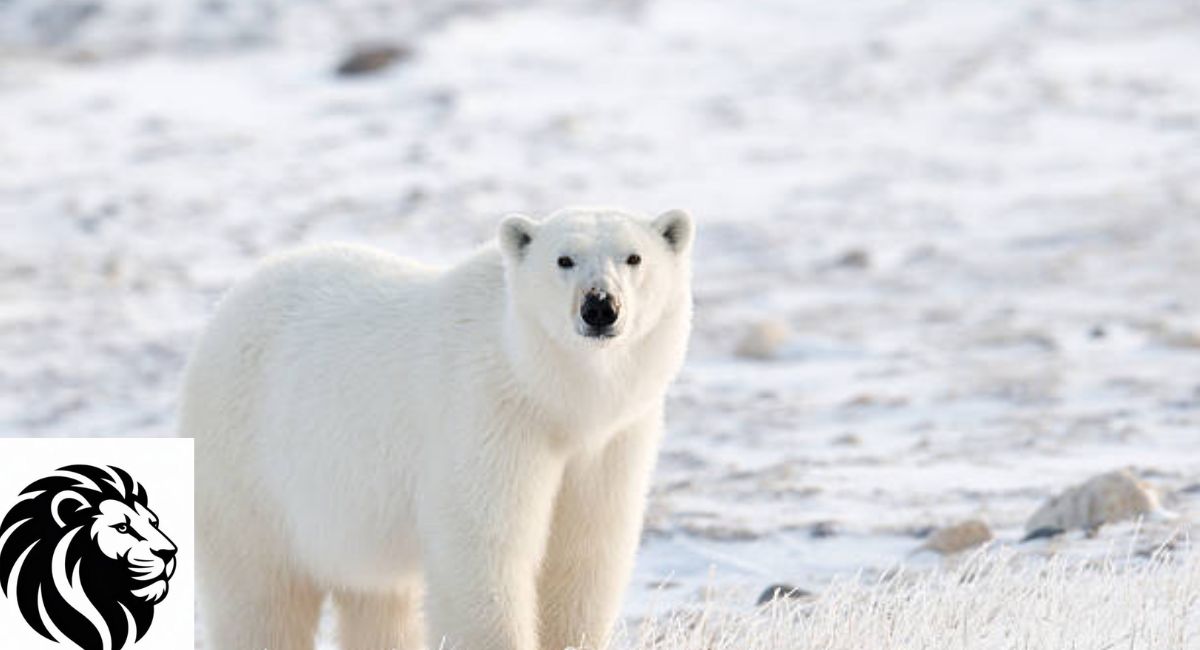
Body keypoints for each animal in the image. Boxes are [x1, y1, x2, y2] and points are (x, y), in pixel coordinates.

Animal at [180, 206, 694, 650]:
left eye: (634, 257)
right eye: (564, 259)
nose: (600, 306)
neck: (552, 396)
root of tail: (227, 306)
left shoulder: (611, 440)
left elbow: (584, 554)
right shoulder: (488, 415)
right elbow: (484, 549)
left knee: (380, 602)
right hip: (248, 471)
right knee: (260, 596)